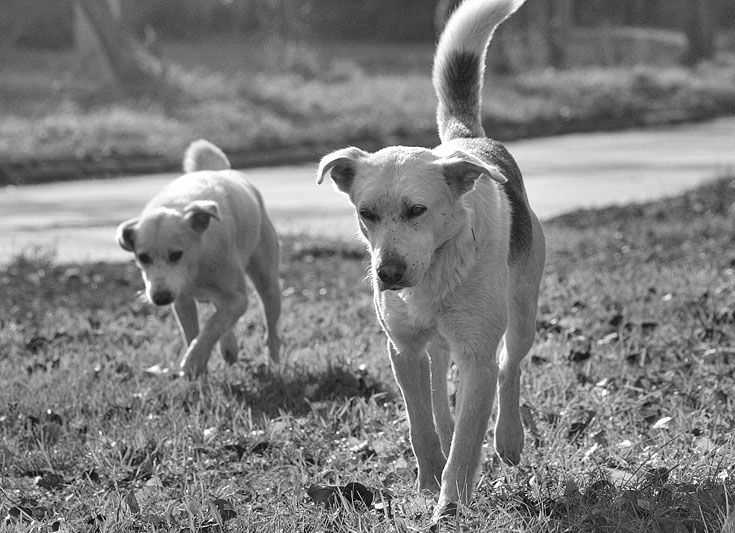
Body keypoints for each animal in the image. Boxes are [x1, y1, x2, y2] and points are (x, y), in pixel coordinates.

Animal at [118, 139, 282, 376]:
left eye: (176, 254)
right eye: (143, 257)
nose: (160, 298)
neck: (196, 265)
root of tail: (219, 171)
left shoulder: (237, 299)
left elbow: (211, 327)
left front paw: (193, 360)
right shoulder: (182, 301)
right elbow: (194, 332)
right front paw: (198, 369)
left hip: (266, 280)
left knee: (271, 331)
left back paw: (274, 364)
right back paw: (229, 347)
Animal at [318, 0, 548, 520]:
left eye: (417, 210)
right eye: (366, 213)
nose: (387, 274)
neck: (437, 269)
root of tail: (468, 141)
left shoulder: (477, 355)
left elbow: (468, 437)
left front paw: (451, 504)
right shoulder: (401, 348)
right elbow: (420, 424)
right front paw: (427, 485)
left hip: (523, 309)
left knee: (510, 365)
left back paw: (509, 438)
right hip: (436, 344)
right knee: (441, 390)